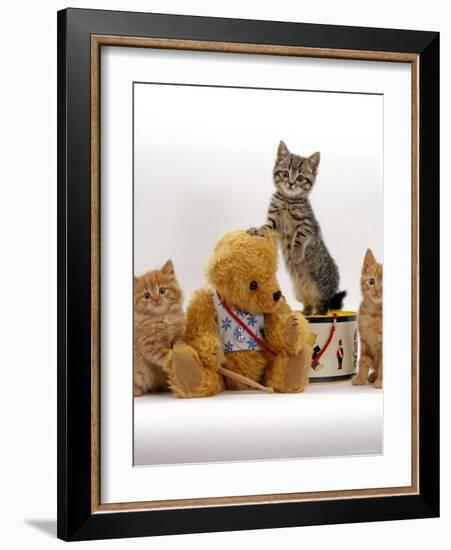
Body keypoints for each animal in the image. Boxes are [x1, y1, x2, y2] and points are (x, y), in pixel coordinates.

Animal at [134, 260, 185, 398]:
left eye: (162, 290)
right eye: (147, 296)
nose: (156, 300)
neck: (163, 318)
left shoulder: (177, 334)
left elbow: (178, 344)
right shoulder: (150, 344)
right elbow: (167, 355)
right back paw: (137, 390)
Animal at [252, 140, 344, 316]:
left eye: (300, 178)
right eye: (285, 174)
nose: (291, 183)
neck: (288, 200)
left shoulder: (307, 225)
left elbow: (300, 238)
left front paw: (296, 254)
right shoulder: (274, 221)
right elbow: (266, 227)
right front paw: (256, 230)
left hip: (321, 293)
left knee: (321, 309)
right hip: (300, 293)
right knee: (308, 305)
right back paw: (305, 313)